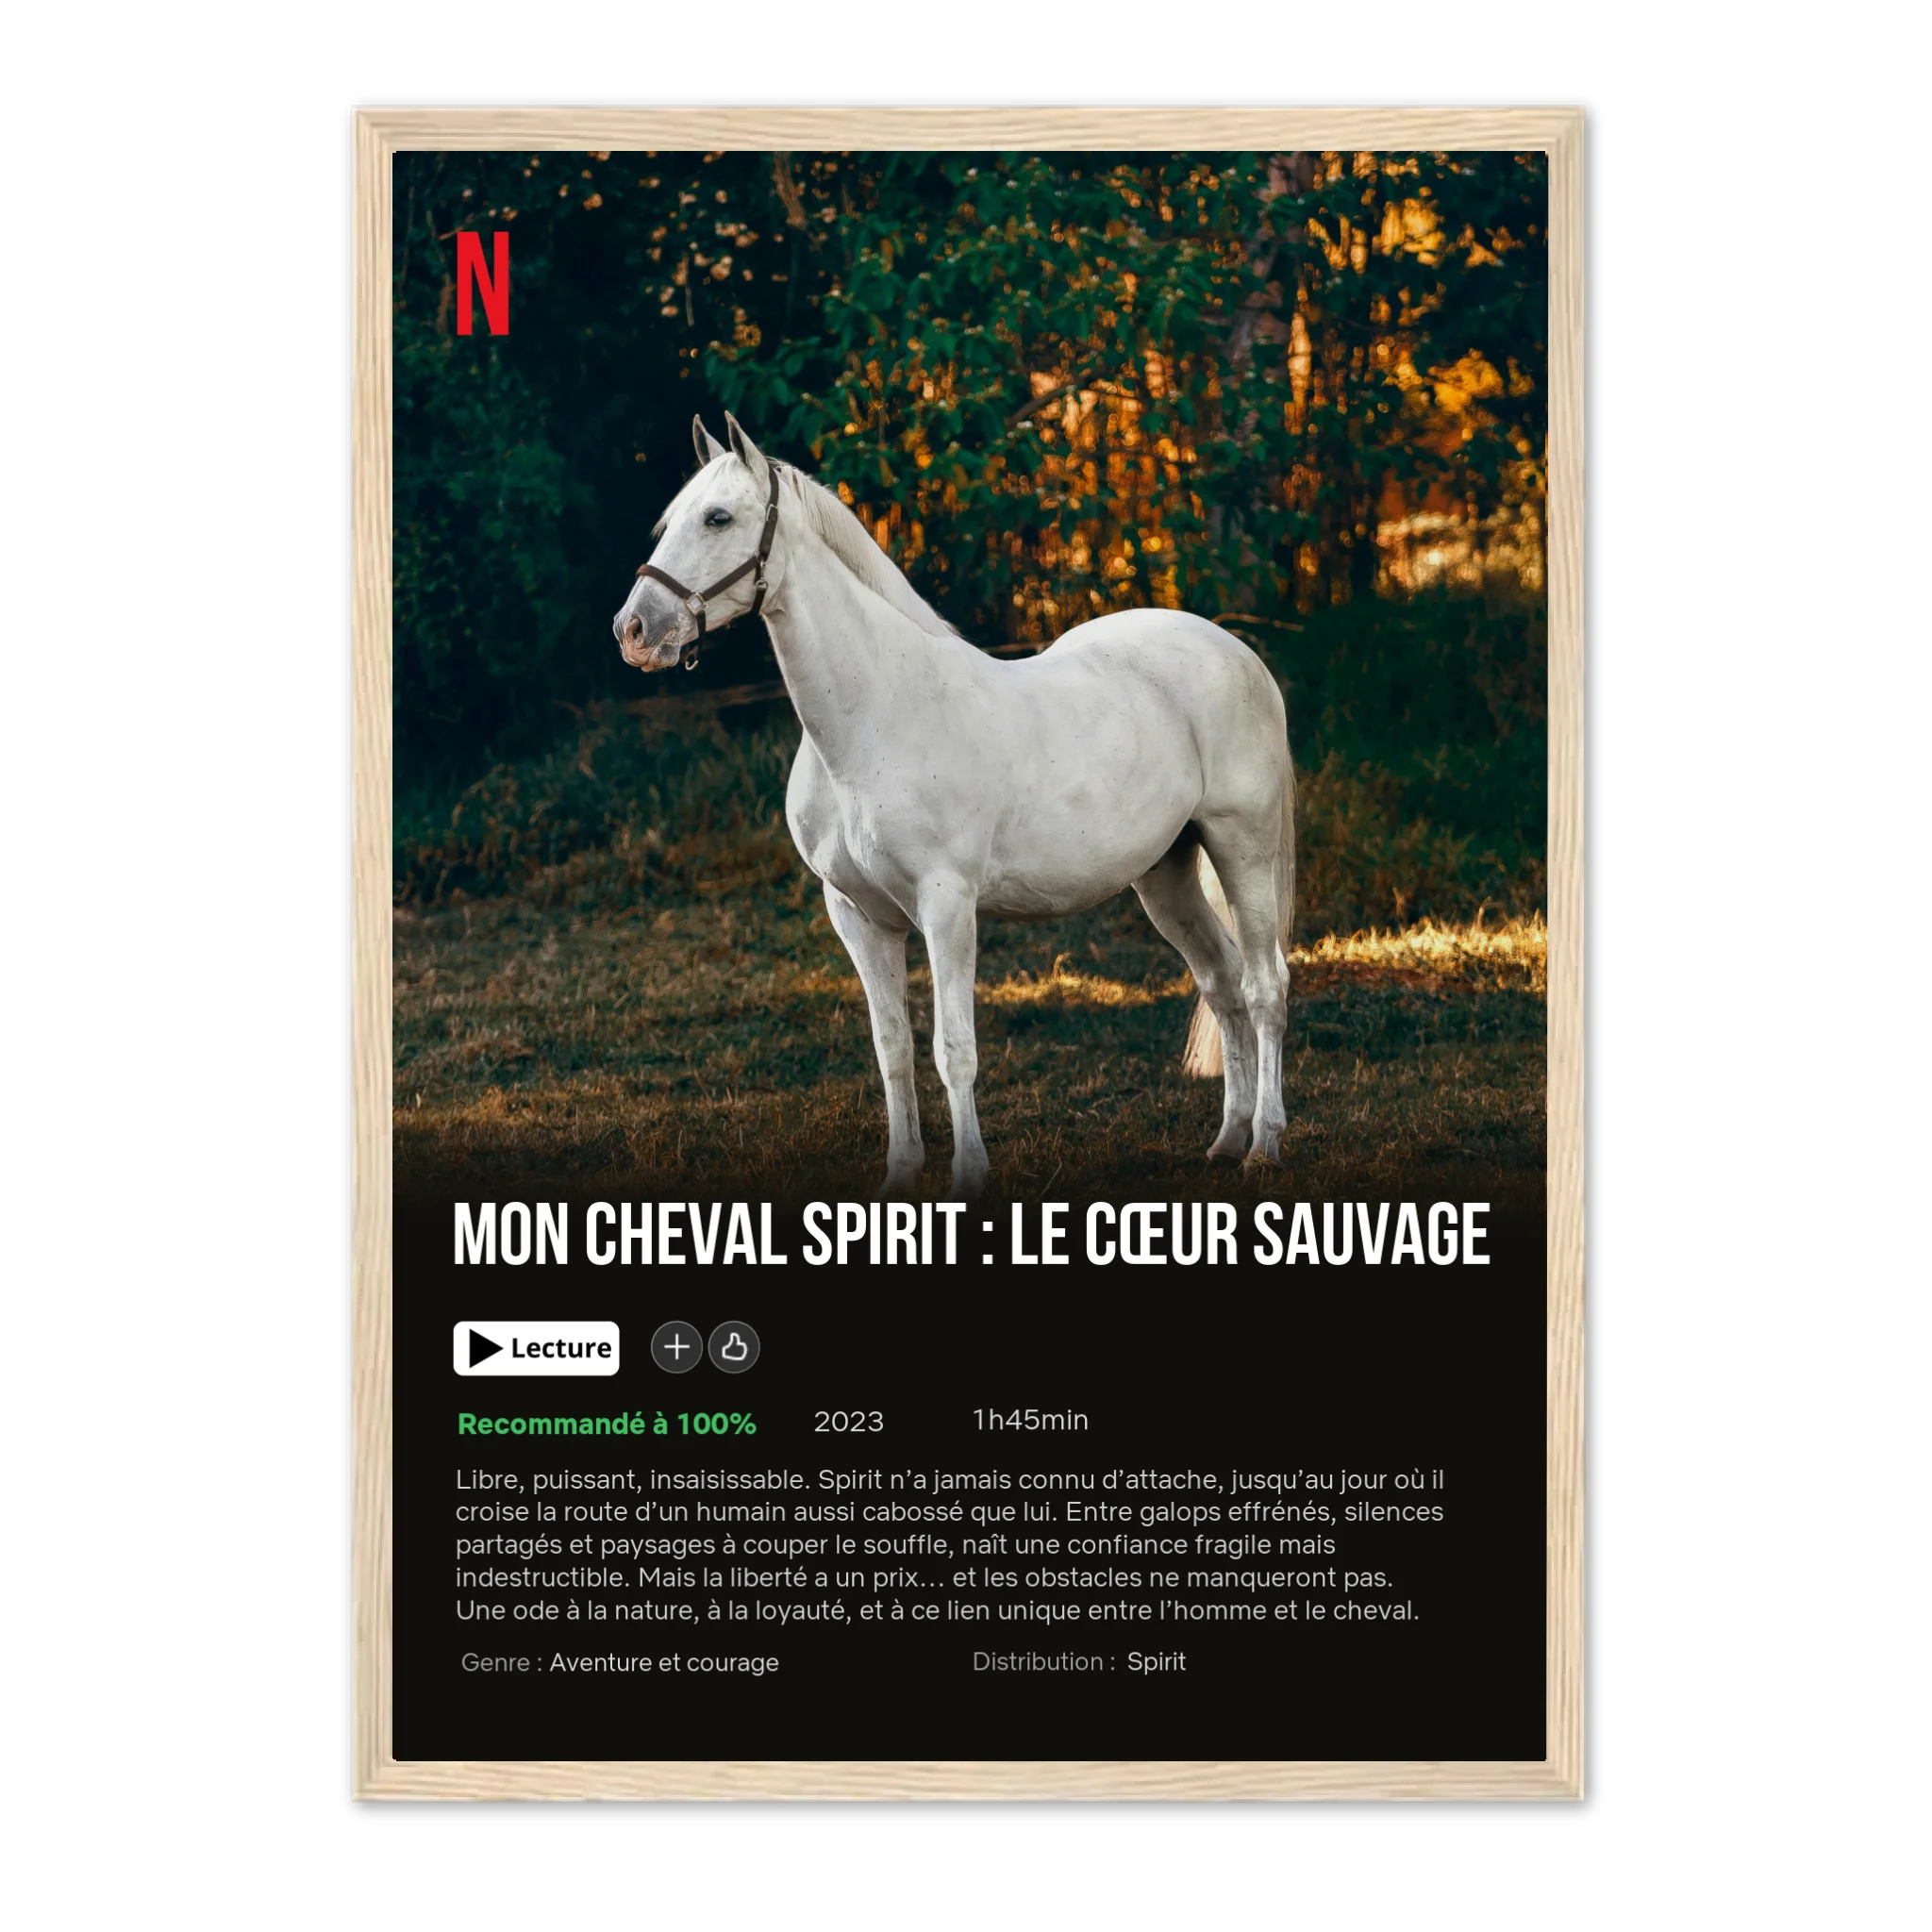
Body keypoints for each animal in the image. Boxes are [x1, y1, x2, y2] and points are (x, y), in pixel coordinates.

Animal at [613, 414, 1296, 1203]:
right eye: (670, 521)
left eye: (718, 517)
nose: (633, 631)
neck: (873, 718)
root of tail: (1236, 652)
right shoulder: (857, 915)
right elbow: (892, 1050)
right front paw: (899, 1174)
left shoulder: (946, 905)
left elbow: (954, 1049)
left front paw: (967, 1177)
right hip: (1166, 874)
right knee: (1221, 984)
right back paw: (1225, 1140)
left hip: (1242, 849)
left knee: (1264, 985)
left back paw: (1264, 1145)